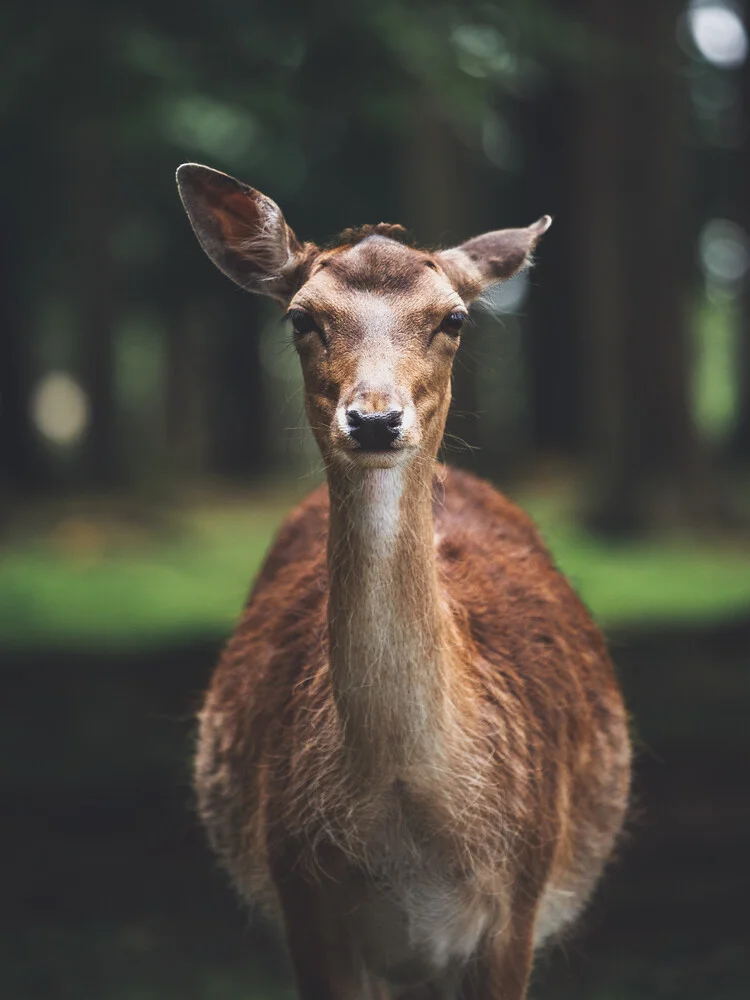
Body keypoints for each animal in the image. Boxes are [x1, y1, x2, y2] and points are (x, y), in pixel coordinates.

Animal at [178, 164, 636, 1000]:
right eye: (301, 317)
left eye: (453, 318)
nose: (374, 419)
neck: (409, 829)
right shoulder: (302, 894)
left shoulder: (520, 897)